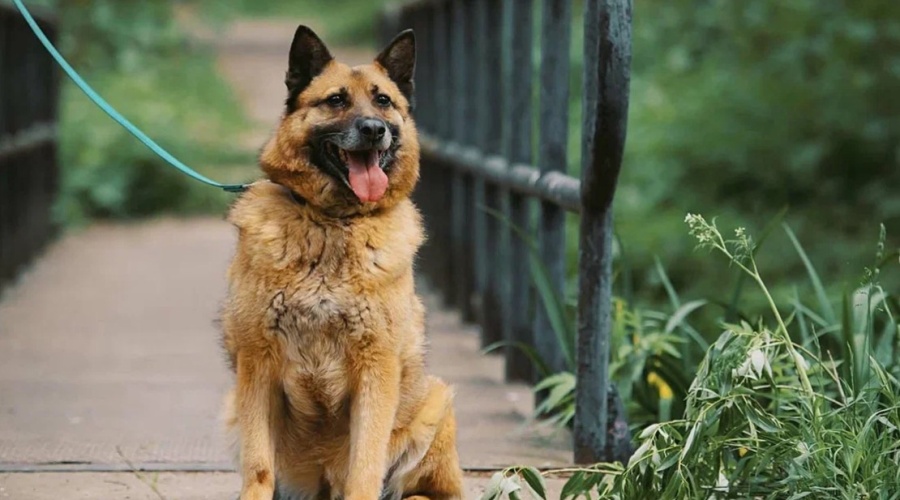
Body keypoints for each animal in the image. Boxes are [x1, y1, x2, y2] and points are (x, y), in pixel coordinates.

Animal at [220, 25, 464, 500]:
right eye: (335, 100)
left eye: (383, 101)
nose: (373, 130)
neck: (332, 222)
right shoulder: (257, 366)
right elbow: (258, 465)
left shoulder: (376, 369)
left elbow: (365, 465)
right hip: (234, 405)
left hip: (435, 403)